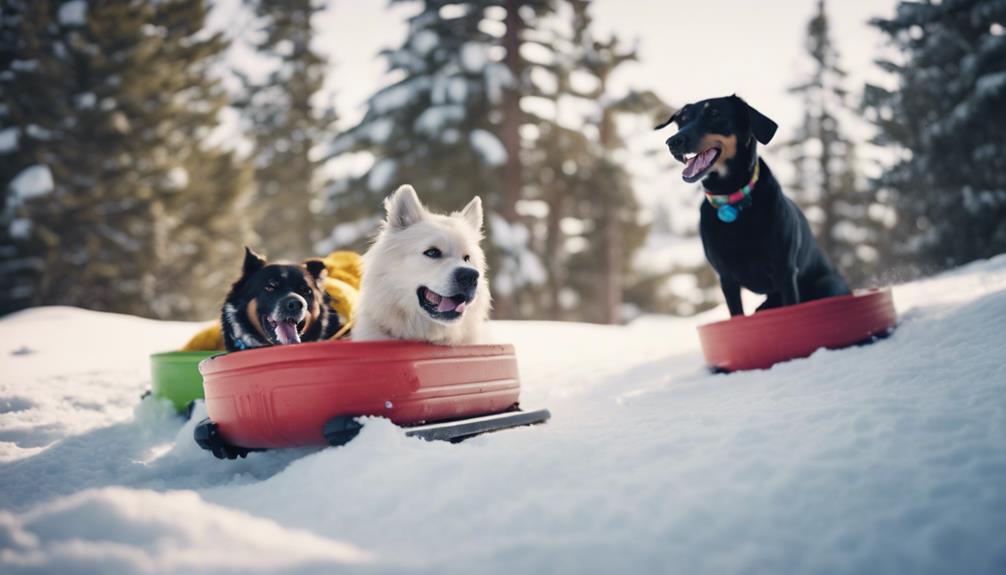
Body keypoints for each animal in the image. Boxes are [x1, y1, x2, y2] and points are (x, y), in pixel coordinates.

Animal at [651, 96, 849, 317]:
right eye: (683, 120)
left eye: (714, 114)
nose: (672, 142)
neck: (732, 198)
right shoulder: (727, 279)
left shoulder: (786, 273)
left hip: (827, 284)